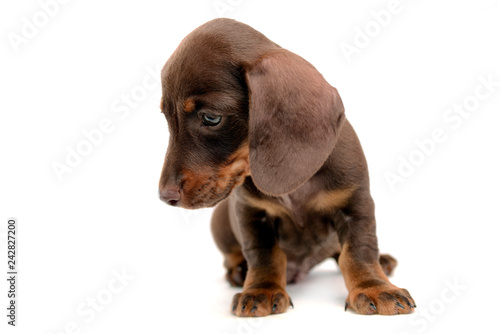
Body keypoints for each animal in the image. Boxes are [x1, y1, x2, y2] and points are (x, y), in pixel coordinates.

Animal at [159, 17, 414, 316]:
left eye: (211, 117)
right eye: (167, 117)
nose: (165, 196)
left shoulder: (356, 205)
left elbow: (358, 251)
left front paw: (374, 286)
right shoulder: (252, 214)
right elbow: (264, 255)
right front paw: (262, 290)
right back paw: (238, 270)